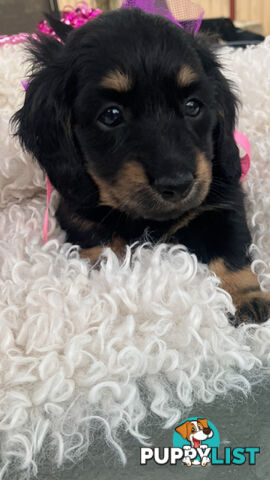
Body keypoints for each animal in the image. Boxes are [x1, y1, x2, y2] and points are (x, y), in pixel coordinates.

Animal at [12, 7, 270, 324]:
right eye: (111, 115)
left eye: (193, 106)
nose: (178, 184)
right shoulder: (76, 212)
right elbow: (98, 239)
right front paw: (112, 271)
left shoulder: (222, 203)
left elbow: (230, 249)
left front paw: (248, 298)